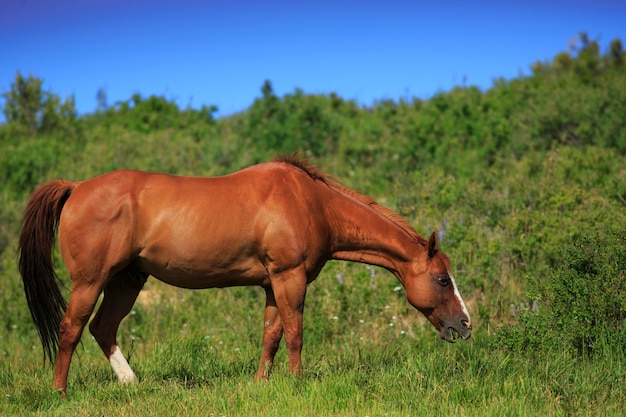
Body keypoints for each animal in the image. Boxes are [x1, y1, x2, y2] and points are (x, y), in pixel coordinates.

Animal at [17, 156, 470, 394]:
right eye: (443, 279)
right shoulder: (289, 278)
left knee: (103, 328)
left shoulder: (272, 283)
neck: (311, 202)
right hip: (91, 282)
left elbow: (271, 334)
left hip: (128, 280)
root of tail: (76, 187)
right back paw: (59, 391)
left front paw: (261, 381)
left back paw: (132, 383)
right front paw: (297, 382)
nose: (465, 325)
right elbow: (295, 331)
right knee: (72, 328)